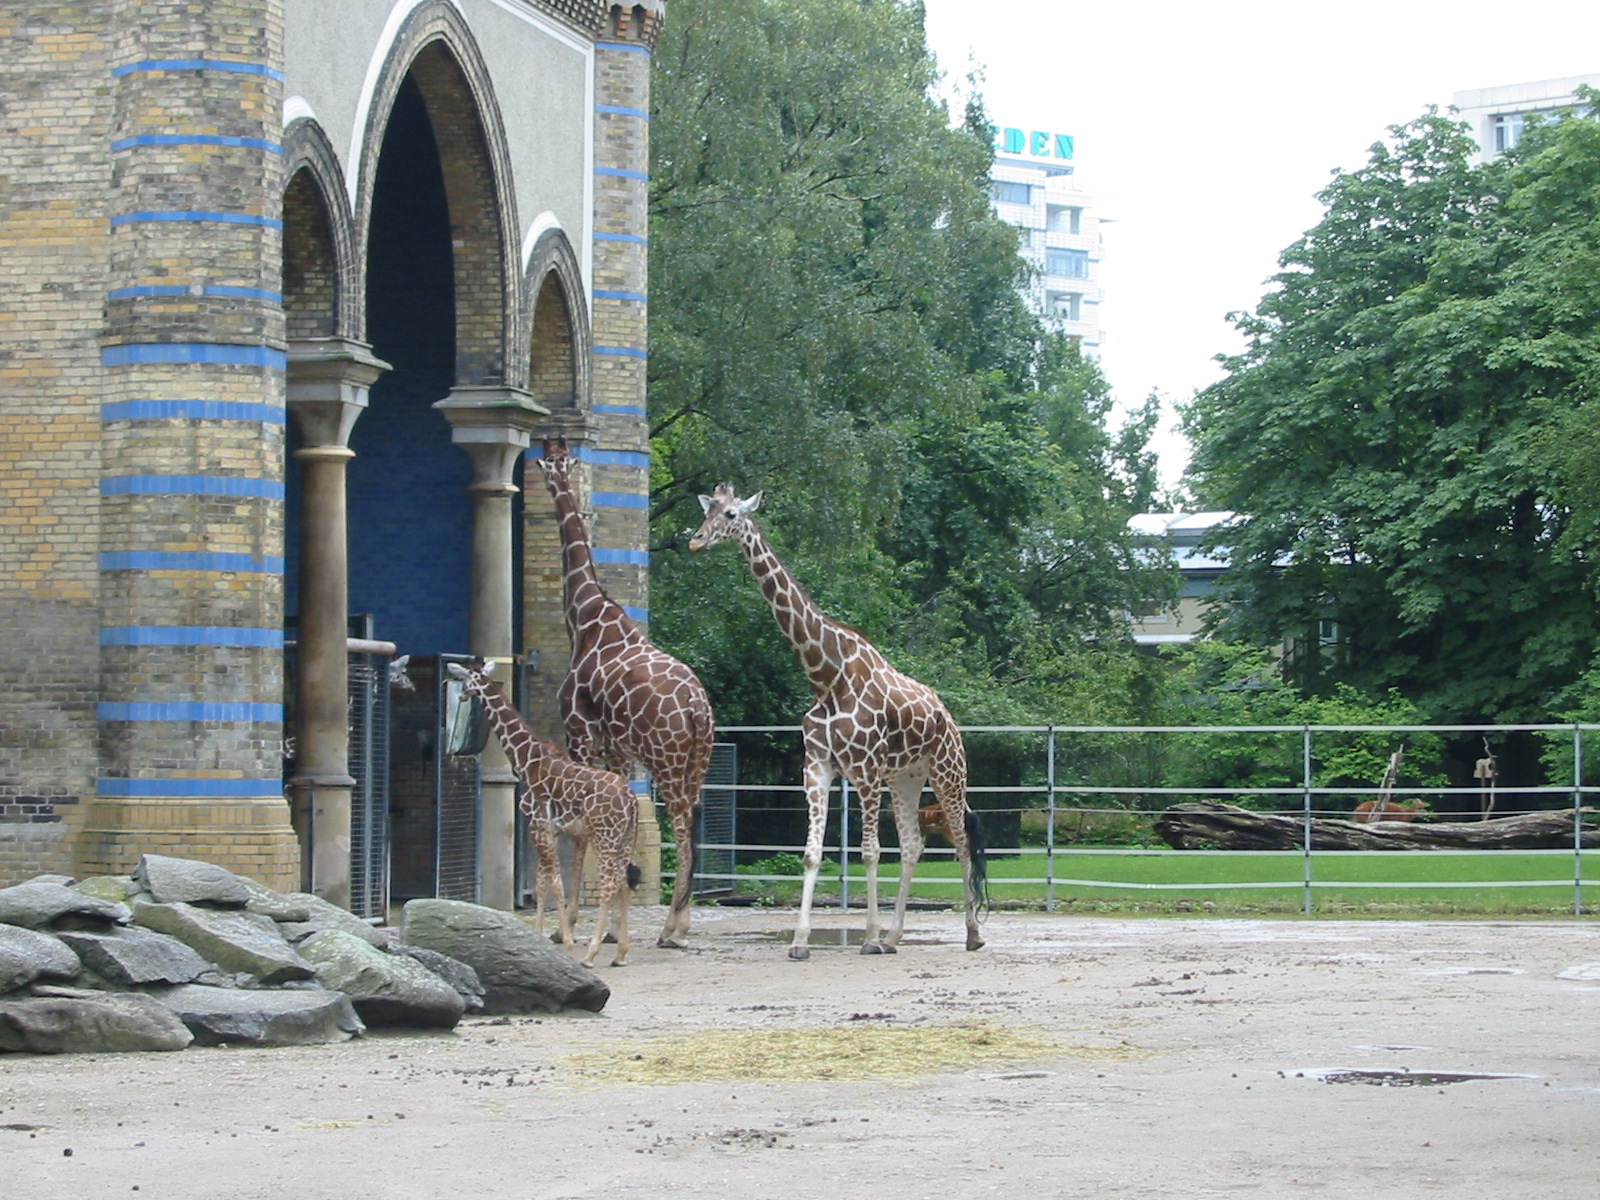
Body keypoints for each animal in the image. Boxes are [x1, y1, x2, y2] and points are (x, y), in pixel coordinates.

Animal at [445, 659, 639, 967]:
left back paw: (591, 953)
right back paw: (620, 953)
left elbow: (555, 884)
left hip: (604, 836)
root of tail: (631, 799)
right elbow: (541, 884)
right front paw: (536, 940)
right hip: (625, 837)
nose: (462, 696)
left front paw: (568, 943)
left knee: (610, 882)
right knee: (623, 881)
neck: (525, 759)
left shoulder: (539, 826)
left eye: (465, 681)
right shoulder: (548, 831)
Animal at [536, 438, 716, 948]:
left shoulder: (579, 733)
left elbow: (582, 829)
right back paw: (678, 920)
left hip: (666, 758)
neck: (584, 617)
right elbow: (626, 823)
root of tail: (698, 707)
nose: (553, 480)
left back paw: (673, 927)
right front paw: (615, 925)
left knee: (682, 821)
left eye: (552, 462)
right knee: (692, 818)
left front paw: (569, 922)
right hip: (695, 759)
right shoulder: (617, 750)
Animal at [689, 484, 988, 960]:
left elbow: (868, 851)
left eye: (732, 513)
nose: (696, 540)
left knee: (959, 841)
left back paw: (971, 934)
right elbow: (812, 852)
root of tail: (948, 716)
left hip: (948, 771)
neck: (826, 676)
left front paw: (867, 938)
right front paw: (800, 942)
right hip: (906, 778)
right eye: (707, 510)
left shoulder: (864, 770)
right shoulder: (817, 768)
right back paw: (895, 937)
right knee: (913, 845)